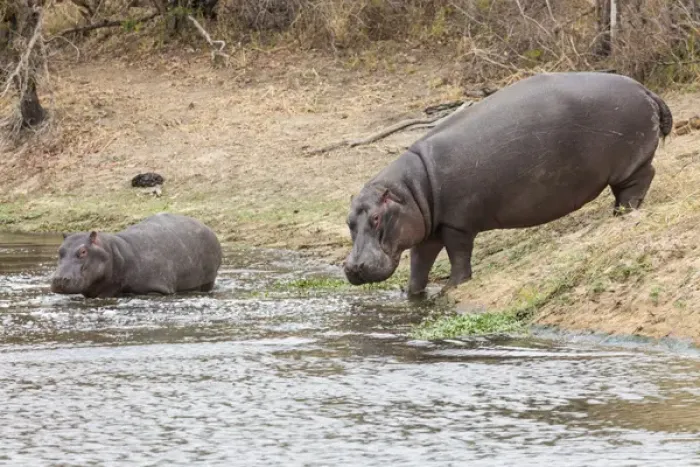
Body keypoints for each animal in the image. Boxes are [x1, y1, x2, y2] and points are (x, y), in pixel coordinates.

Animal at [50, 213, 222, 298]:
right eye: (60, 250)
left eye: (83, 251)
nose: (59, 279)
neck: (115, 251)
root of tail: (207, 227)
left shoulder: (156, 288)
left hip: (208, 280)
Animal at [343, 71, 673, 296]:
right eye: (348, 222)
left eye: (376, 218)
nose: (353, 267)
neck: (410, 190)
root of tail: (646, 89)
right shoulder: (428, 230)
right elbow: (419, 265)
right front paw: (411, 295)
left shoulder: (456, 224)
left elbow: (458, 256)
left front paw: (452, 288)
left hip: (630, 164)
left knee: (642, 180)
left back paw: (623, 213)